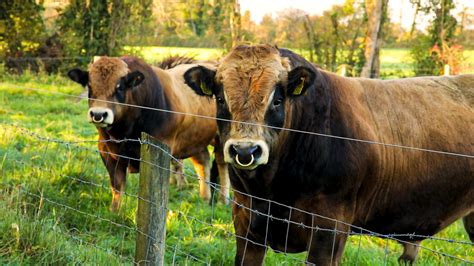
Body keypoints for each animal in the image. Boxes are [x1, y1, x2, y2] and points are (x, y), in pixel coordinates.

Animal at [68, 55, 230, 210]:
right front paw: (115, 212)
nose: (98, 114)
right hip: (195, 138)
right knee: (202, 160)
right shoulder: (107, 152)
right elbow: (117, 187)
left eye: (120, 87)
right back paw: (204, 197)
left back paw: (222, 200)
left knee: (221, 163)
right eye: (89, 86)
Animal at [183, 44, 472, 264]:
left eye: (277, 100)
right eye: (221, 99)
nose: (245, 150)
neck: (272, 192)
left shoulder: (329, 229)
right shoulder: (245, 220)